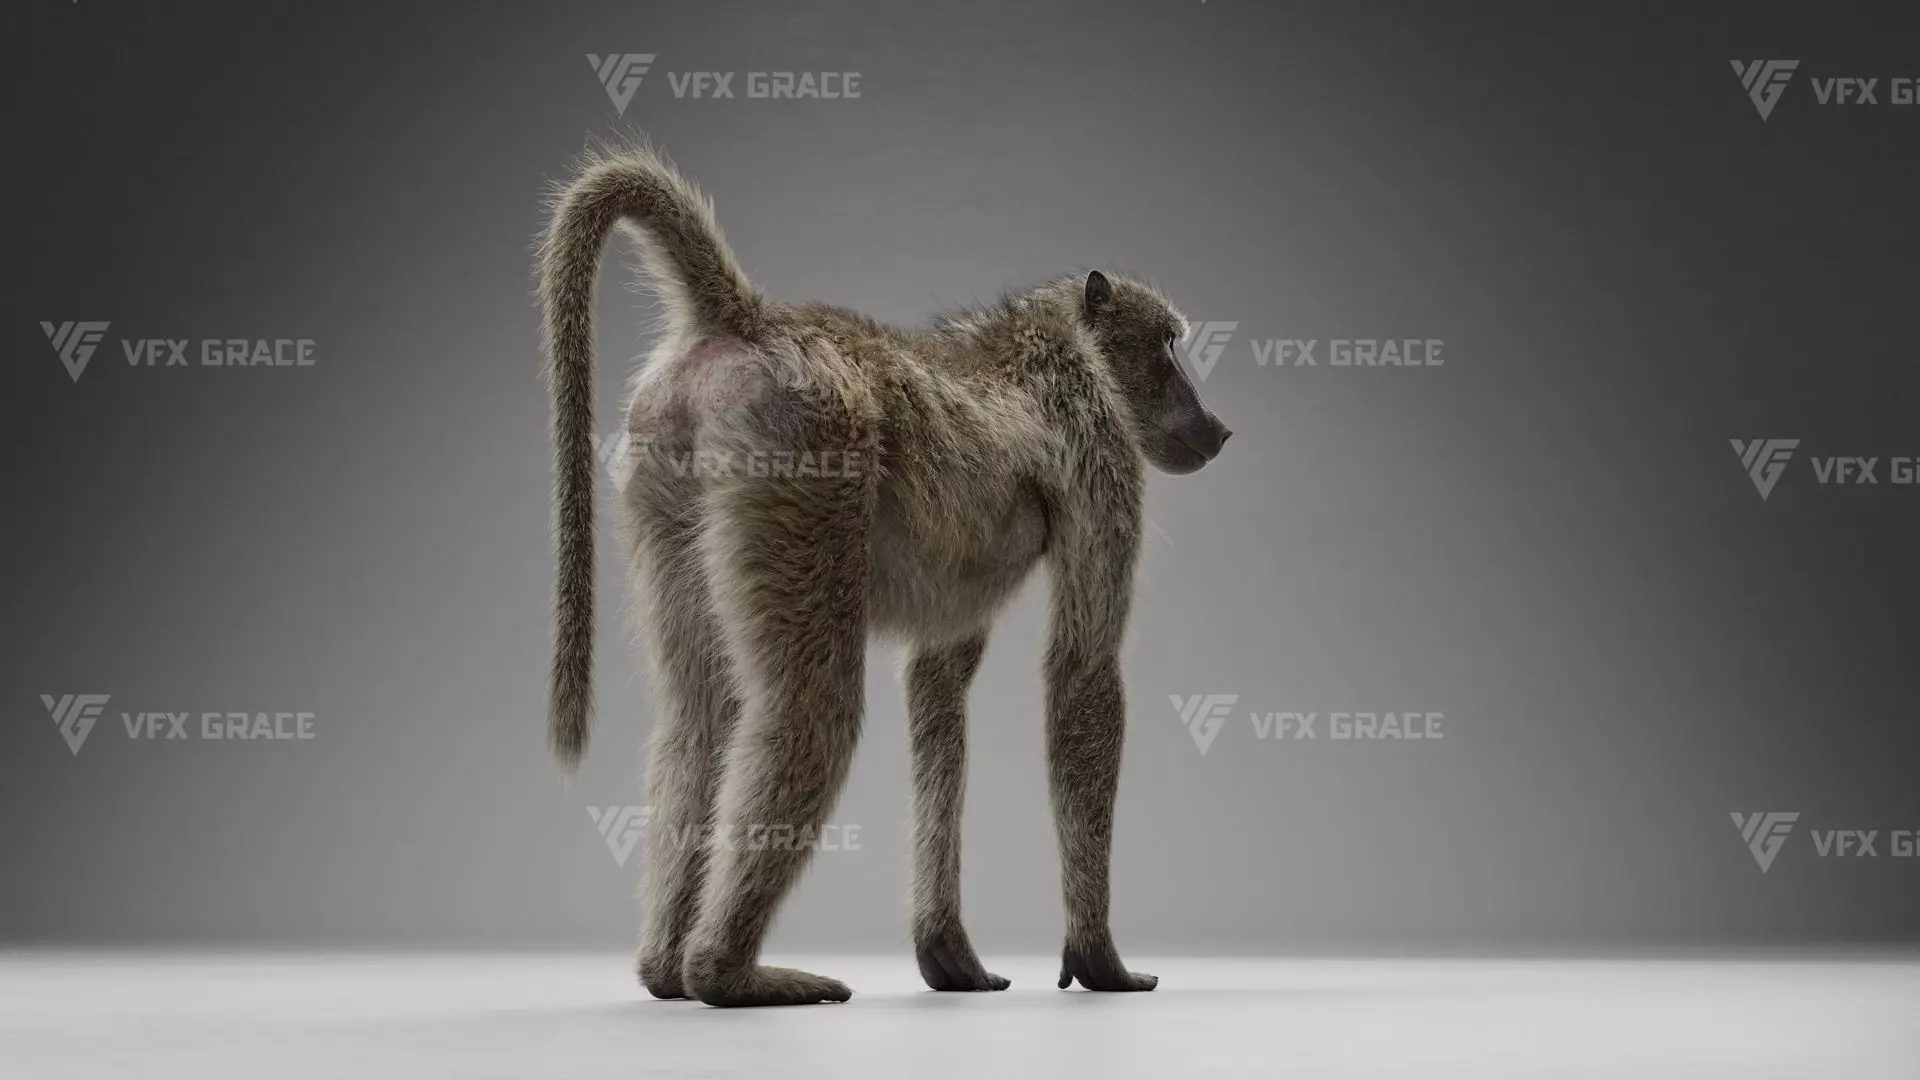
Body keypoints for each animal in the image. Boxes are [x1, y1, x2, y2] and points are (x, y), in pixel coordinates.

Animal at [538, 137, 1231, 1008]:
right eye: (1169, 347)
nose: (1218, 427)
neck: (1049, 346)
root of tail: (749, 322)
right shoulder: (1102, 451)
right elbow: (1082, 670)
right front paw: (1099, 959)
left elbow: (938, 684)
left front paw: (949, 957)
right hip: (806, 455)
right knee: (811, 708)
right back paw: (728, 974)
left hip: (663, 469)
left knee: (698, 714)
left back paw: (666, 971)